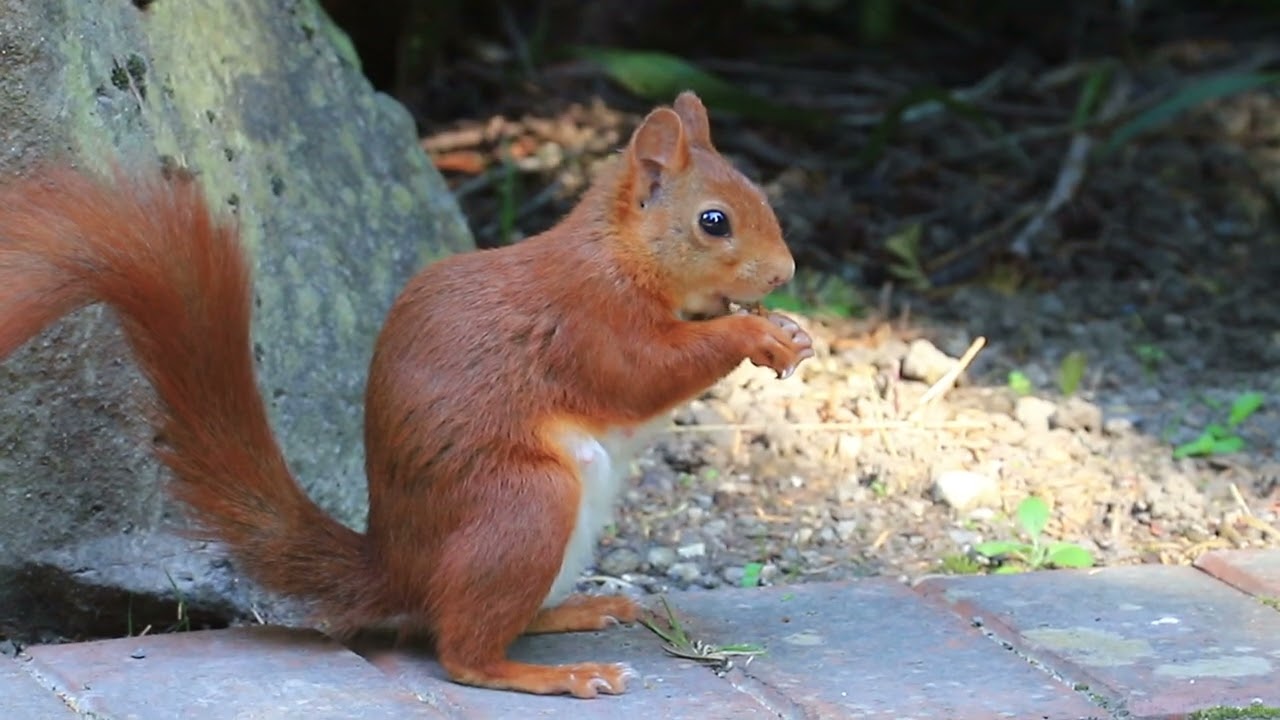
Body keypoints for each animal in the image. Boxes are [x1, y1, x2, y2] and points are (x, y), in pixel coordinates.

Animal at [0, 91, 812, 698]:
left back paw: (576, 611)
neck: (619, 255)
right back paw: (558, 675)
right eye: (714, 222)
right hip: (526, 504)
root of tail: (395, 565)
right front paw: (756, 335)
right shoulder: (587, 324)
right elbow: (642, 373)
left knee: (463, 621)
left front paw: (789, 330)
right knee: (459, 650)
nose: (785, 272)